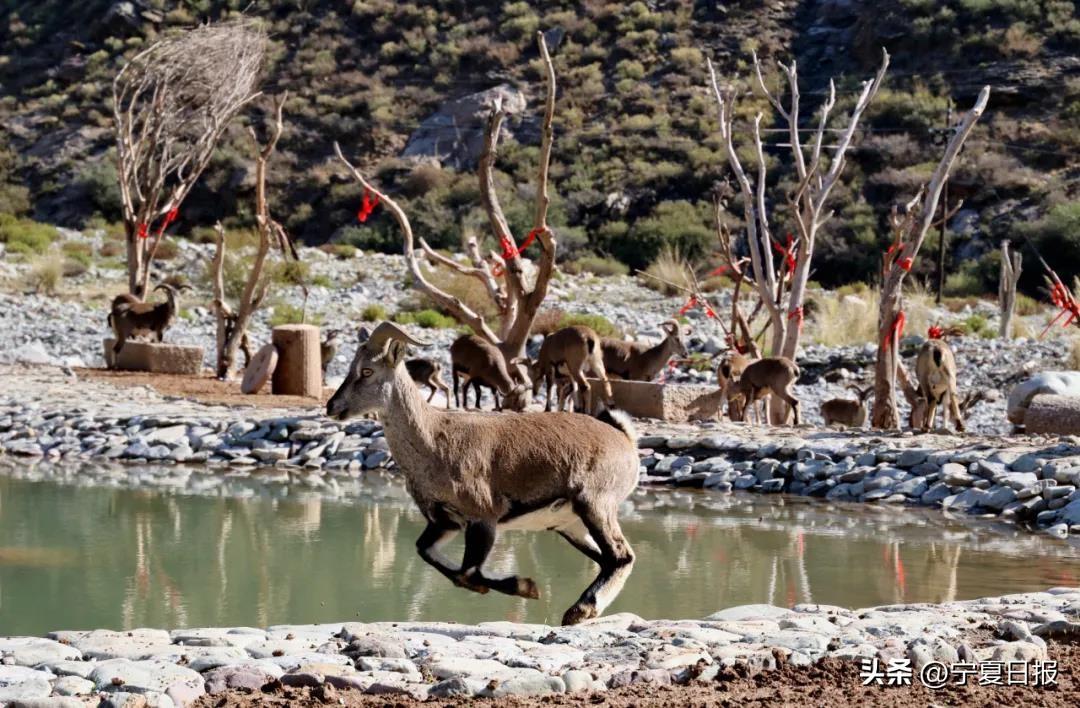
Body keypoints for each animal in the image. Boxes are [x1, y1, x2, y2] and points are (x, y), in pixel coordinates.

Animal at [328, 321, 639, 625]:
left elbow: (469, 571)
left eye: (367, 370)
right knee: (607, 558)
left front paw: (525, 586)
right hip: (568, 523)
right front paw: (504, 586)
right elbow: (432, 555)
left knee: (621, 555)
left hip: (595, 503)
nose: (332, 406)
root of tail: (624, 440)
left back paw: (581, 609)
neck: (434, 439)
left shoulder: (484, 516)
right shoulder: (445, 522)